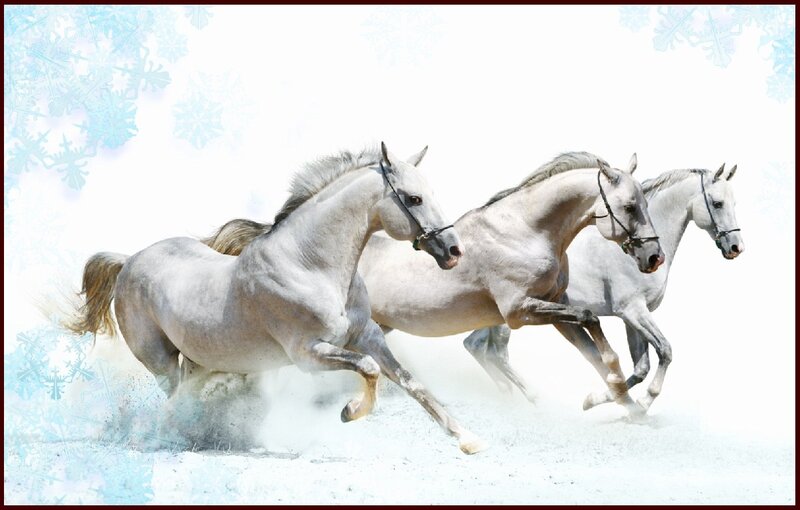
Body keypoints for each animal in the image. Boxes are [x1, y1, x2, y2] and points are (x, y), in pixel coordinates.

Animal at [69, 143, 489, 455]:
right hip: (160, 361)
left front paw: (469, 440)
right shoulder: (308, 354)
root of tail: (129, 260)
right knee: (176, 398)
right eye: (413, 198)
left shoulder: (367, 335)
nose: (454, 250)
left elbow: (410, 382)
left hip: (199, 359)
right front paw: (350, 412)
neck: (309, 265)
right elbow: (369, 369)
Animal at [200, 152, 665, 416]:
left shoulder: (551, 310)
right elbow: (591, 320)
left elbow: (594, 344)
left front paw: (623, 404)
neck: (526, 230)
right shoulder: (520, 311)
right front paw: (619, 394)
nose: (653, 257)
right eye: (629, 205)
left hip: (370, 330)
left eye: (643, 202)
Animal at [463, 163, 744, 412]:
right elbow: (665, 351)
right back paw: (532, 398)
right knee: (495, 352)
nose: (735, 247)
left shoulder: (632, 317)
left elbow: (640, 367)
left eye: (734, 203)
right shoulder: (633, 311)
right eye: (717, 203)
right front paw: (640, 402)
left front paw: (602, 400)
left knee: (475, 345)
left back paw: (509, 395)